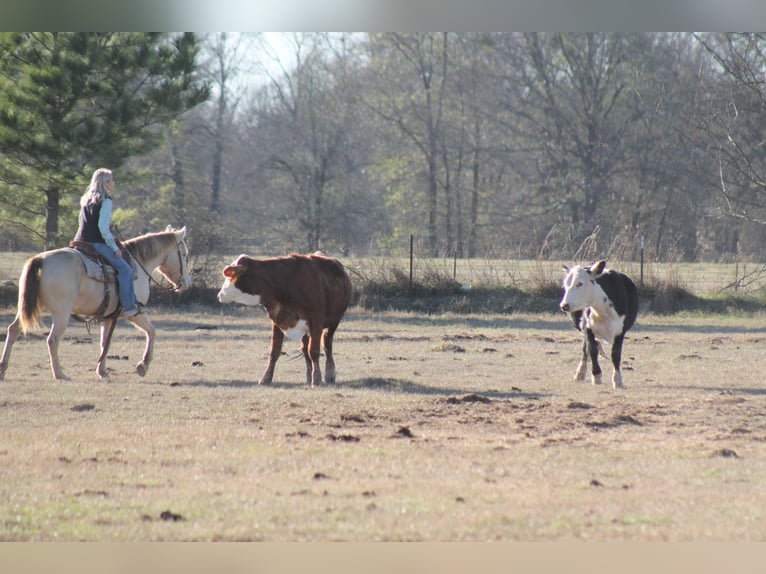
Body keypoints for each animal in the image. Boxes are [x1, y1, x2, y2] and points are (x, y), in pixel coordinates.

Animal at [0, 225, 191, 381]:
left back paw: (3, 369)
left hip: (30, 307)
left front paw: (102, 371)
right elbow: (152, 332)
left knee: (13, 330)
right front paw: (143, 365)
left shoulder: (108, 317)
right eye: (184, 254)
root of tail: (40, 260)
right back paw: (60, 374)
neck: (138, 264)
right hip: (61, 315)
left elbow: (105, 342)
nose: (186, 283)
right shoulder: (136, 313)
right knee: (52, 340)